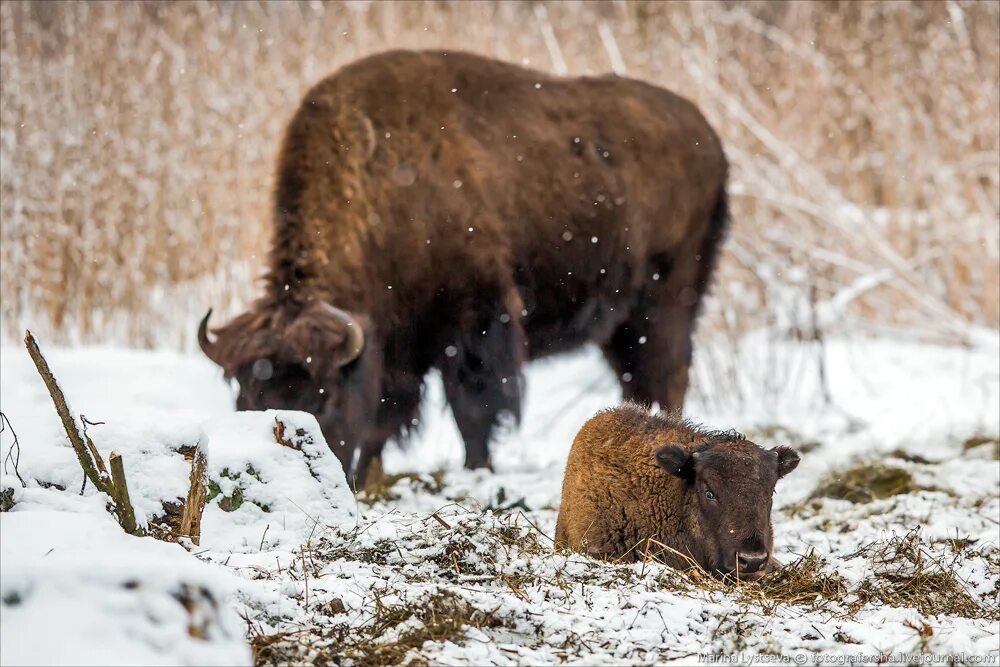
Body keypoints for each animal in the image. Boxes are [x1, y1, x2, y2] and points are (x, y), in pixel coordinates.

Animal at [197, 48, 728, 486]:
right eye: (244, 400)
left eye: (322, 398)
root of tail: (708, 137)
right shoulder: (396, 345)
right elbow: (386, 416)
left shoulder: (475, 322)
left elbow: (473, 408)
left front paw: (477, 472)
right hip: (621, 323)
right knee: (639, 377)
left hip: (666, 300)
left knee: (666, 372)